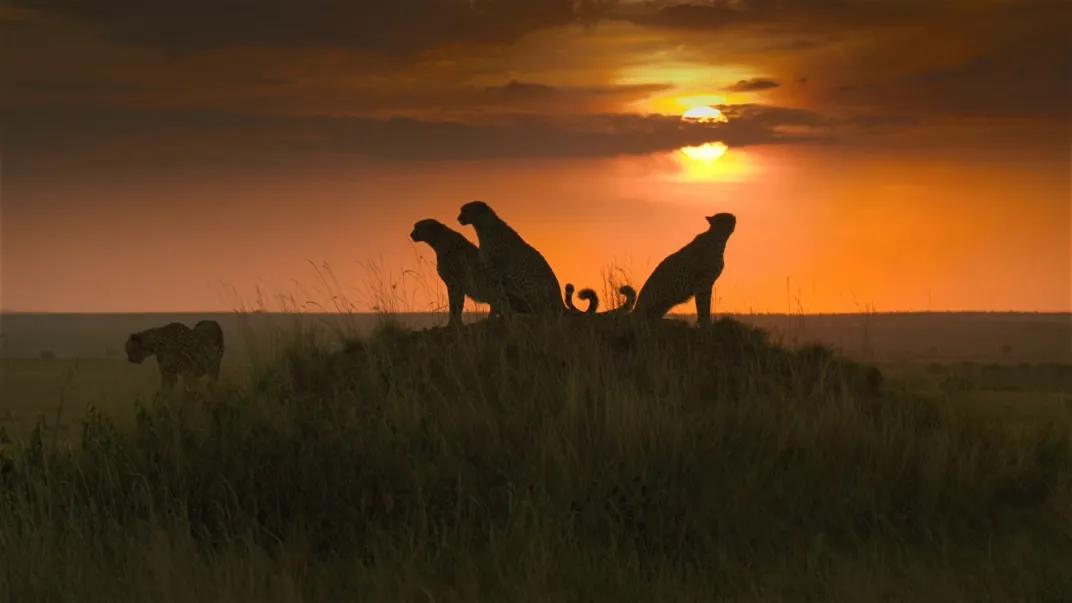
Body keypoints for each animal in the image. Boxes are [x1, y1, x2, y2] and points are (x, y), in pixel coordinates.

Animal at [456, 200, 600, 315]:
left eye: (465, 210)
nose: (458, 218)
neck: (482, 228)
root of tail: (559, 302)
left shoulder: (496, 271)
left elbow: (498, 294)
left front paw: (501, 313)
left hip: (529, 286)